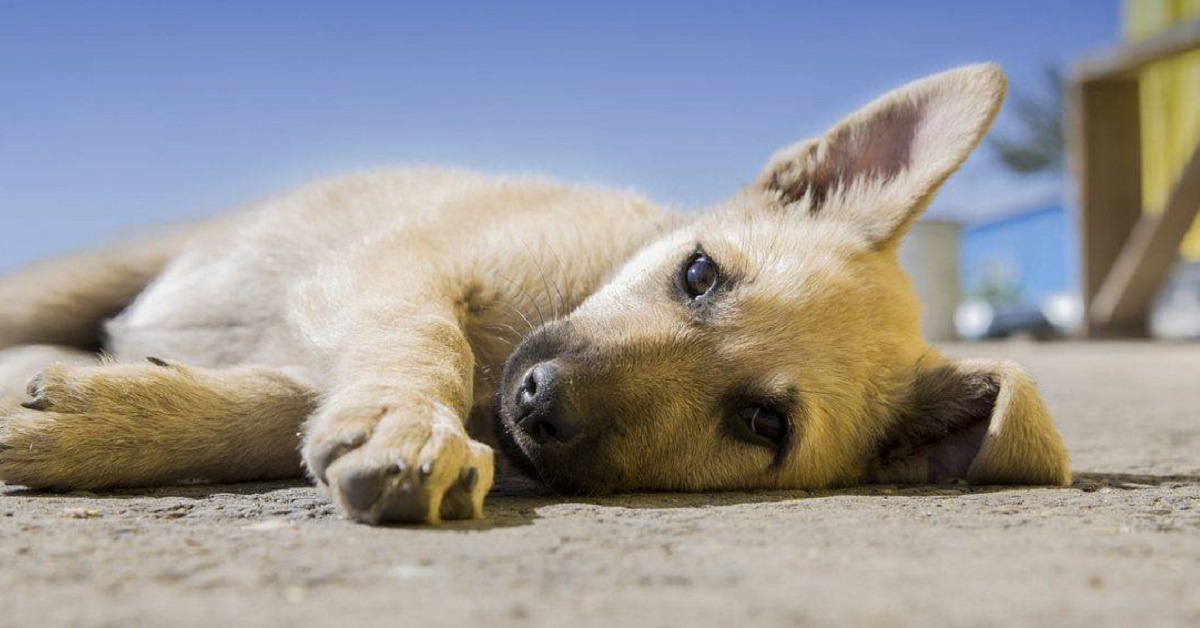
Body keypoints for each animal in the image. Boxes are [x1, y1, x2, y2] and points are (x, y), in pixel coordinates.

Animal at [0, 63, 1070, 525]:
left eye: (763, 424)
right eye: (699, 274)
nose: (538, 402)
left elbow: (277, 407)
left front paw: (106, 416)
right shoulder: (394, 265)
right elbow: (423, 340)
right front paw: (409, 425)